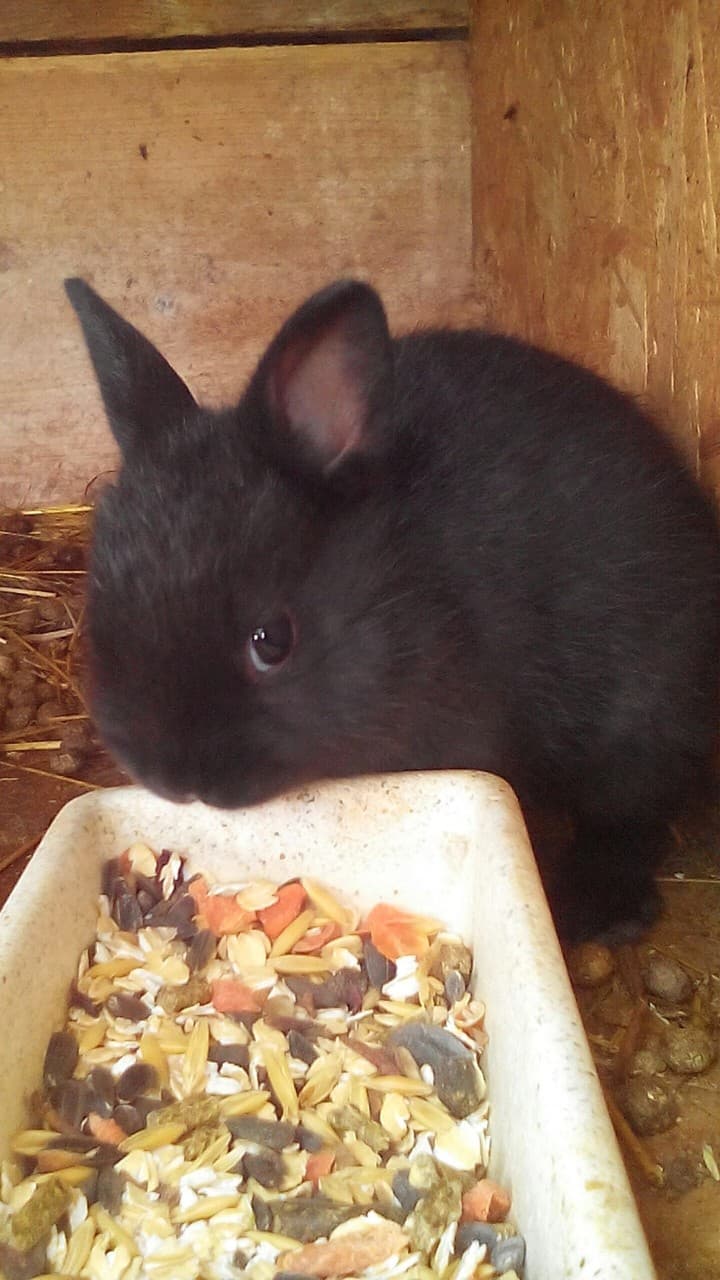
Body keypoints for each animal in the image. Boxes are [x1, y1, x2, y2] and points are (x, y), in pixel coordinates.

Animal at [65, 276, 720, 941]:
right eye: (101, 605)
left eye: (271, 640)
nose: (173, 778)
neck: (394, 596)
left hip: (644, 716)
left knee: (631, 815)